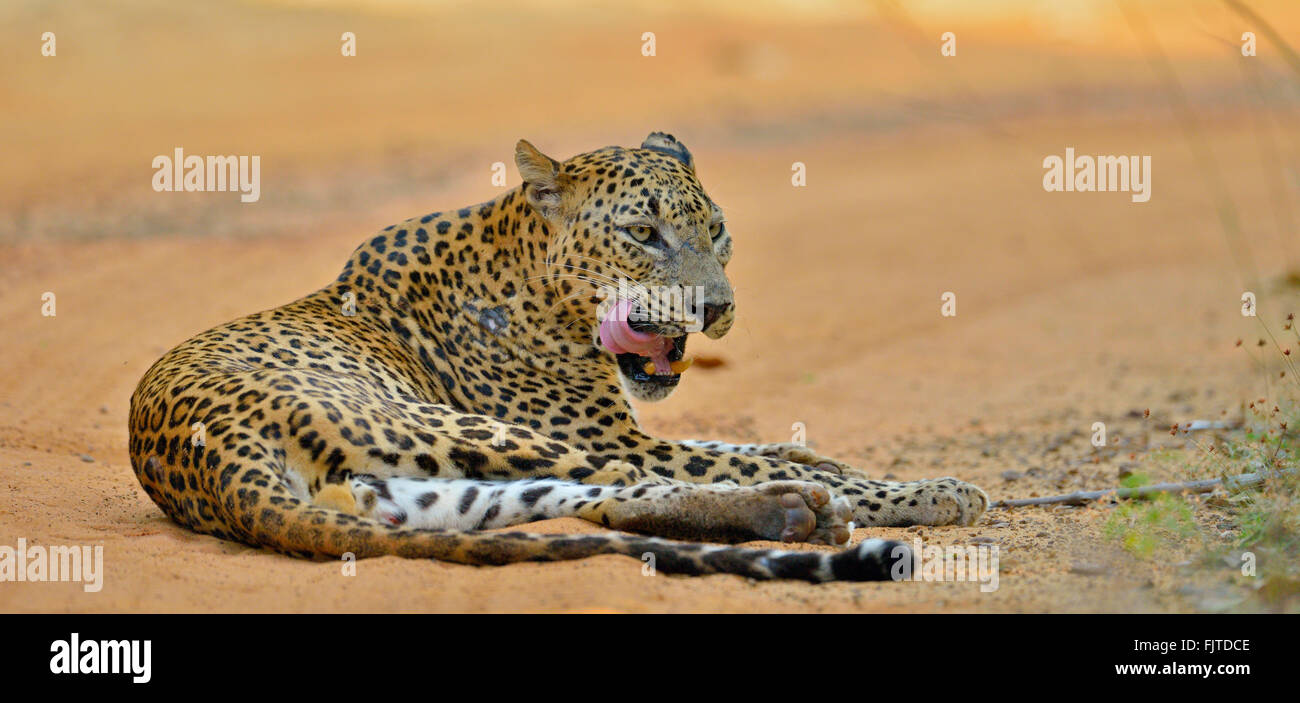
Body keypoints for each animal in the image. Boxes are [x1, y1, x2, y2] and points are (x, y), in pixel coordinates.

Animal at [129, 131, 982, 582]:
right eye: (643, 233)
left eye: (716, 229)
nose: (716, 307)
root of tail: (213, 461)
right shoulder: (611, 432)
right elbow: (735, 455)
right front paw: (925, 489)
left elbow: (746, 441)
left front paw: (825, 461)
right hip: (470, 430)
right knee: (630, 483)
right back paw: (815, 508)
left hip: (441, 487)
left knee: (599, 500)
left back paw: (794, 506)